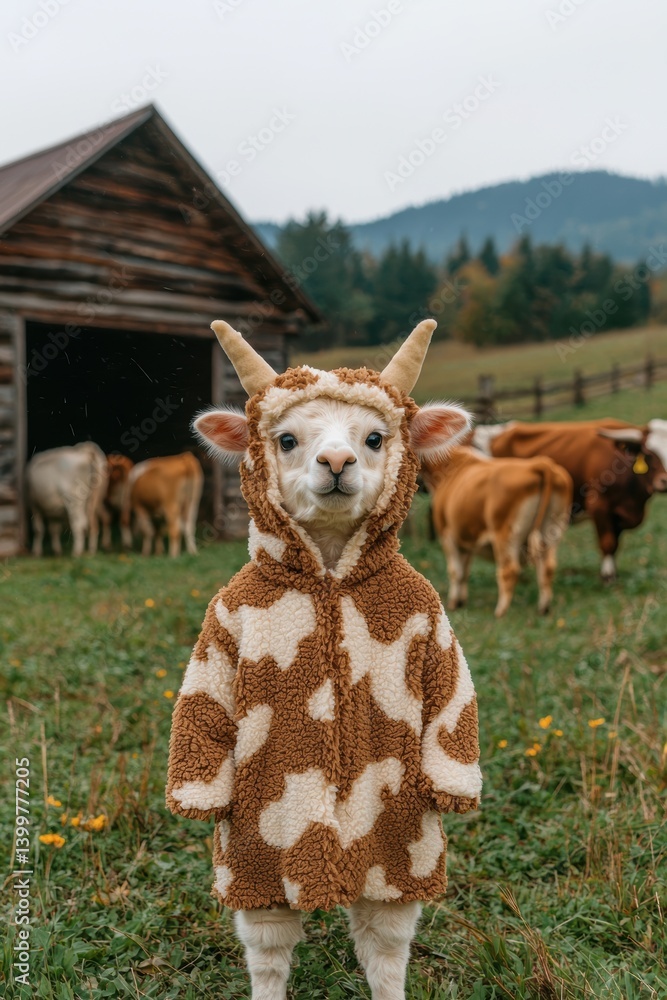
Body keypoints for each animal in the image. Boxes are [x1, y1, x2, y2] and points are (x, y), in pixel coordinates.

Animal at [422, 446, 572, 617]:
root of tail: (540, 463)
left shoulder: (447, 535)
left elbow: (455, 571)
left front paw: (453, 602)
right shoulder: (467, 540)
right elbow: (465, 571)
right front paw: (461, 600)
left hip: (506, 535)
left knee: (509, 570)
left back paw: (501, 611)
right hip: (551, 530)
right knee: (547, 568)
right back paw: (543, 608)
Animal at [474, 419, 667, 581]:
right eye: (648, 452)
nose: (664, 481)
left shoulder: (618, 514)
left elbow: (615, 544)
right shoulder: (600, 507)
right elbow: (608, 542)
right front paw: (607, 576)